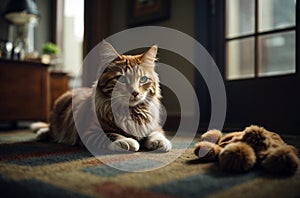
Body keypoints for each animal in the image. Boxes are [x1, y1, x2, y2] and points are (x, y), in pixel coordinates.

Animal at [30, 41, 172, 152]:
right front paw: (127, 141)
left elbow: (156, 134)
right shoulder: (89, 132)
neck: (131, 112)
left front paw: (160, 142)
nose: (135, 92)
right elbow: (112, 135)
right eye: (122, 79)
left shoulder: (155, 126)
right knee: (49, 130)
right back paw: (41, 133)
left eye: (143, 79)